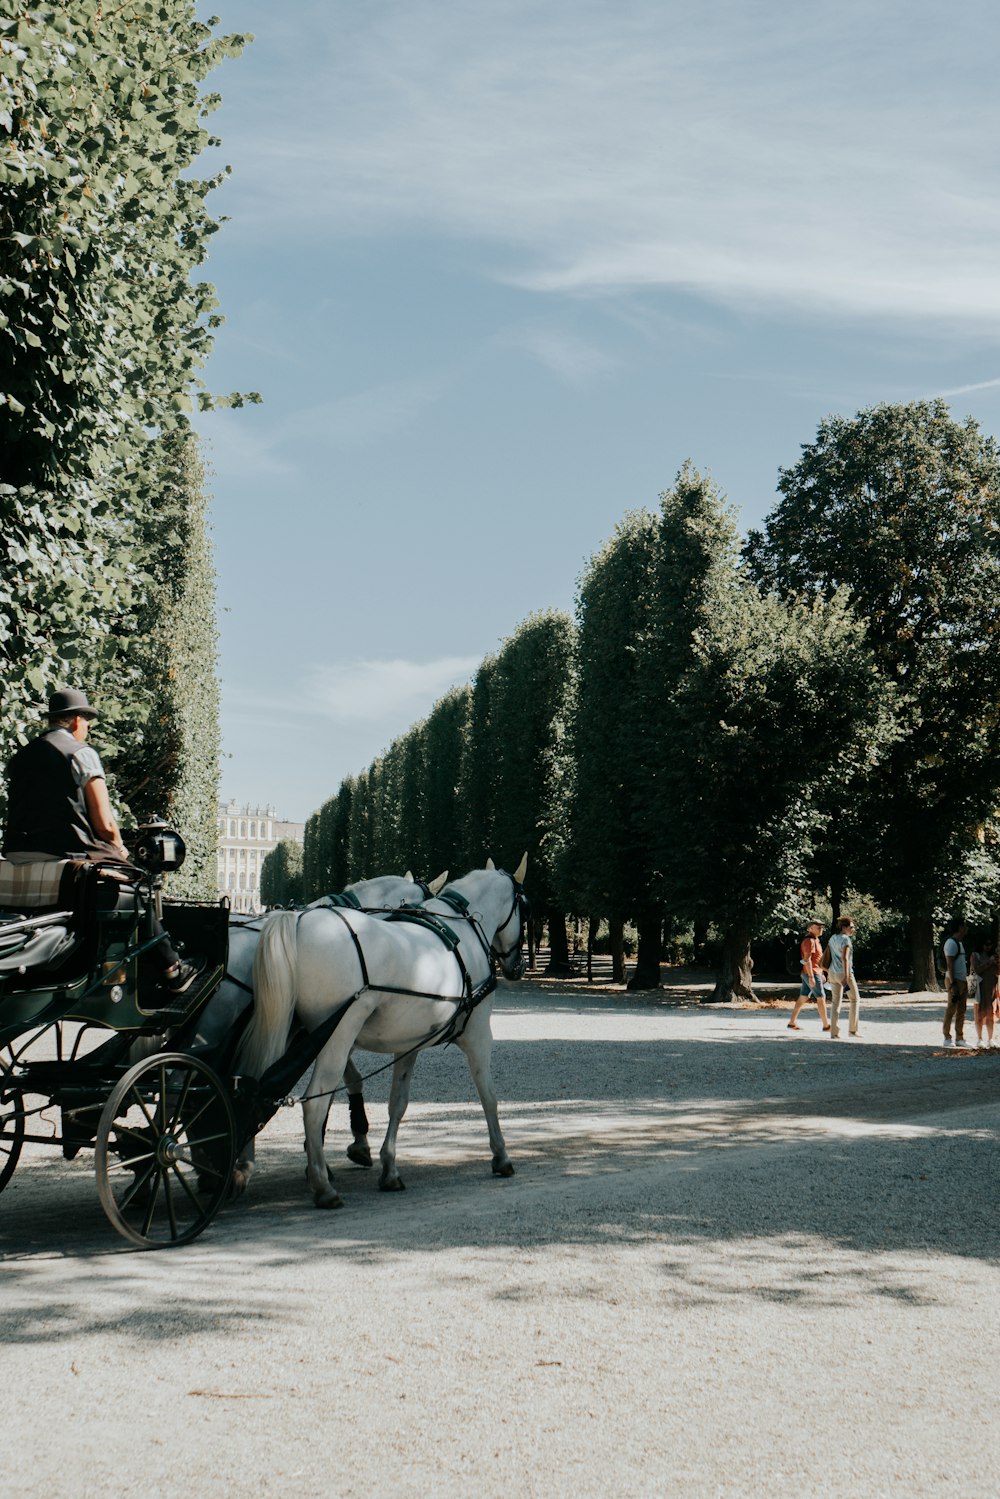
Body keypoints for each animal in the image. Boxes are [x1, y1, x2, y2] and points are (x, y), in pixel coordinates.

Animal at [238, 863, 527, 1199]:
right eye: (525, 907)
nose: (518, 966)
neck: (462, 929)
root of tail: (298, 922)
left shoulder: (409, 1043)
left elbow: (396, 1103)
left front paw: (388, 1166)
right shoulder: (479, 1036)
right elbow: (489, 1096)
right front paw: (501, 1155)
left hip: (288, 1030)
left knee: (255, 1086)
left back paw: (244, 1166)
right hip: (336, 1033)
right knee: (313, 1102)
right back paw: (322, 1185)